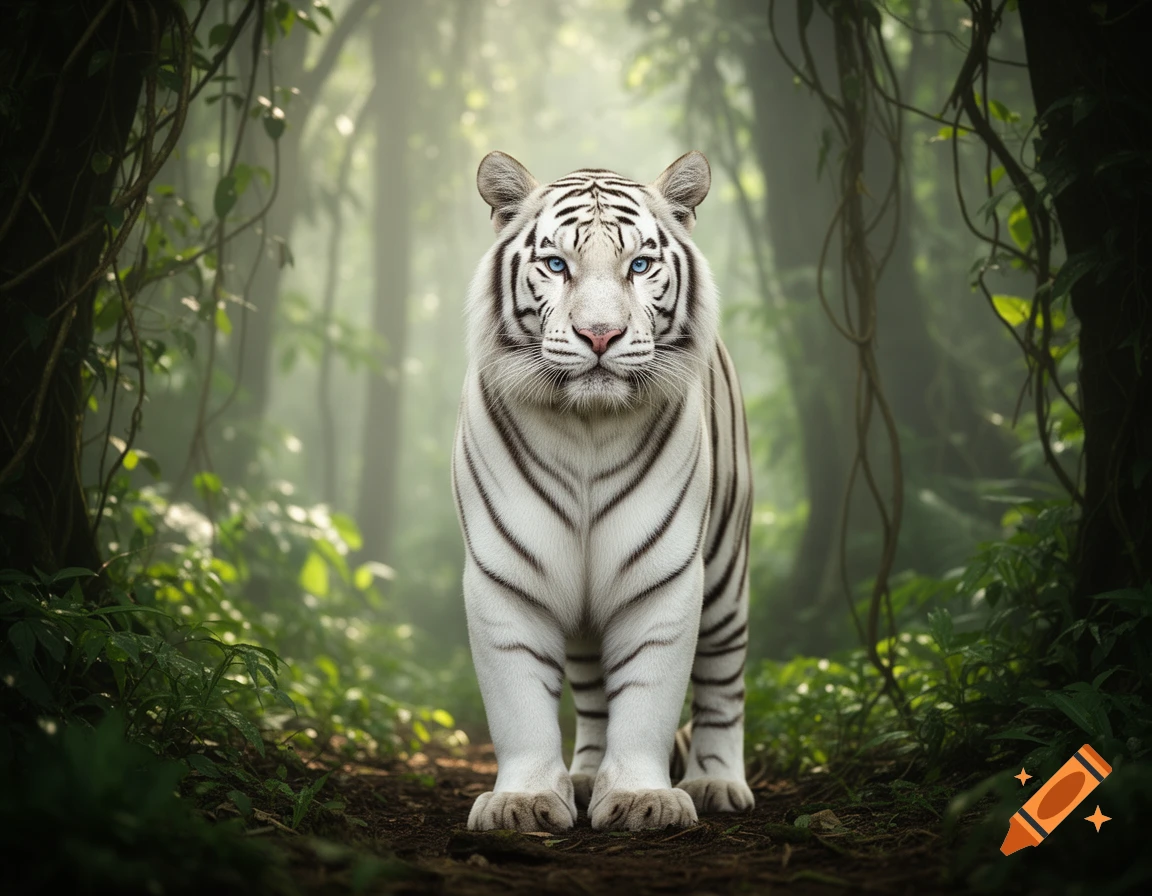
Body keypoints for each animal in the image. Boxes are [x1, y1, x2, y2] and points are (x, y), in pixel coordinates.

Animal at [451, 150, 754, 832]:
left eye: (639, 265)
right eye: (557, 264)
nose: (599, 335)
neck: (587, 426)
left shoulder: (664, 575)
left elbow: (647, 698)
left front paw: (644, 799)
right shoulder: (505, 576)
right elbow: (520, 706)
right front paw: (525, 801)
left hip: (726, 576)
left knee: (723, 684)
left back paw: (716, 783)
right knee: (592, 696)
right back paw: (587, 773)